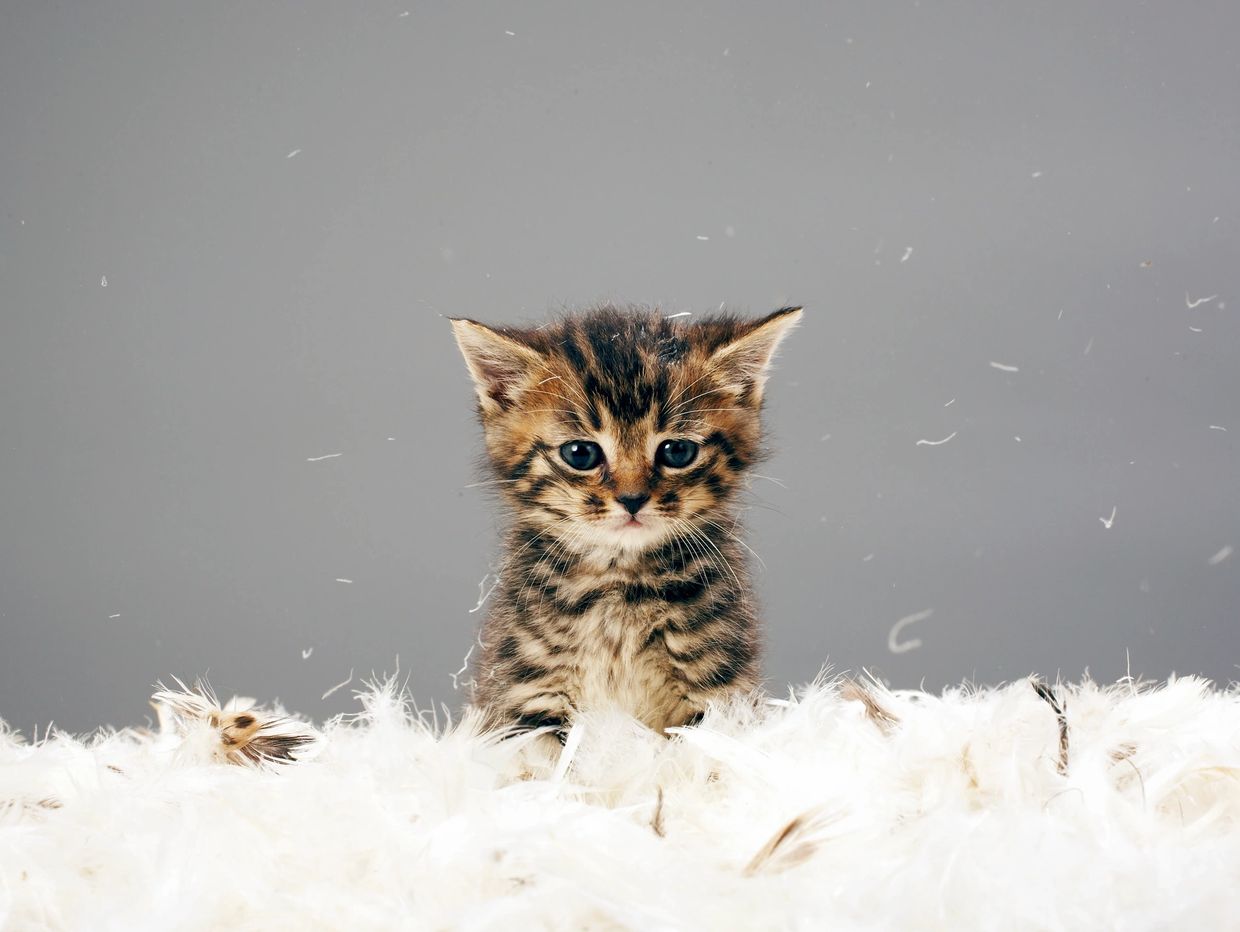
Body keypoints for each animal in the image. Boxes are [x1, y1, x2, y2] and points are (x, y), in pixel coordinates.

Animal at [451, 306, 798, 733]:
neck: (620, 583)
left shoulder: (718, 690)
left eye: (677, 451)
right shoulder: (524, 690)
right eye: (580, 453)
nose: (632, 499)